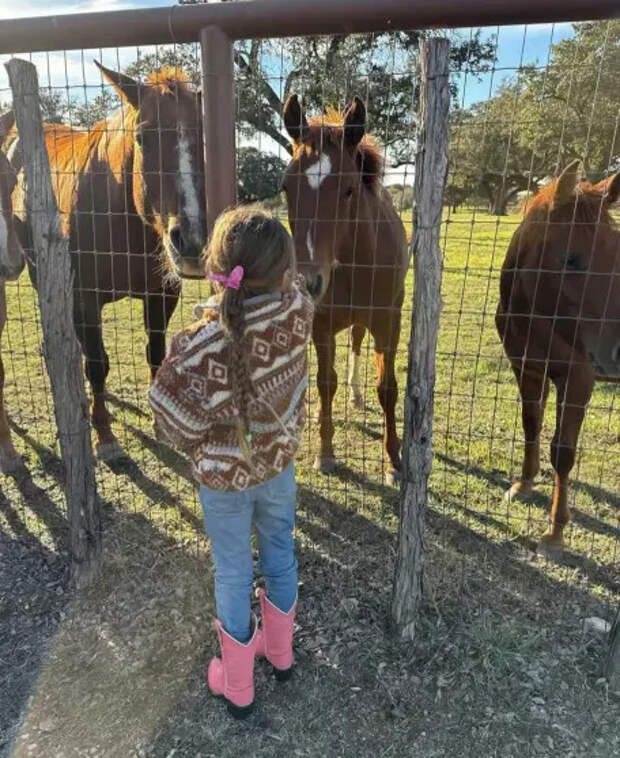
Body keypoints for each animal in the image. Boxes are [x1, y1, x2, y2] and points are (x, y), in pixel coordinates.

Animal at [4, 62, 206, 460]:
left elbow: (155, 353)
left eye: (203, 137)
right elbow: (97, 365)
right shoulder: (84, 298)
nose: (190, 240)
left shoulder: (162, 295)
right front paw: (105, 436)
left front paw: (159, 422)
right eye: (142, 137)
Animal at [280, 96, 406, 486]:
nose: (308, 281)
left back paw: (357, 395)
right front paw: (325, 453)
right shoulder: (321, 326)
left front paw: (393, 461)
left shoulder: (388, 323)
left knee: (357, 343)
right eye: (285, 187)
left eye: (349, 188)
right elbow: (325, 383)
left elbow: (388, 387)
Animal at [494, 162, 620, 552]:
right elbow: (531, 425)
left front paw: (556, 529)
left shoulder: (578, 379)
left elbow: (563, 451)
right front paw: (523, 484)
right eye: (570, 259)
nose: (618, 352)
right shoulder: (528, 370)